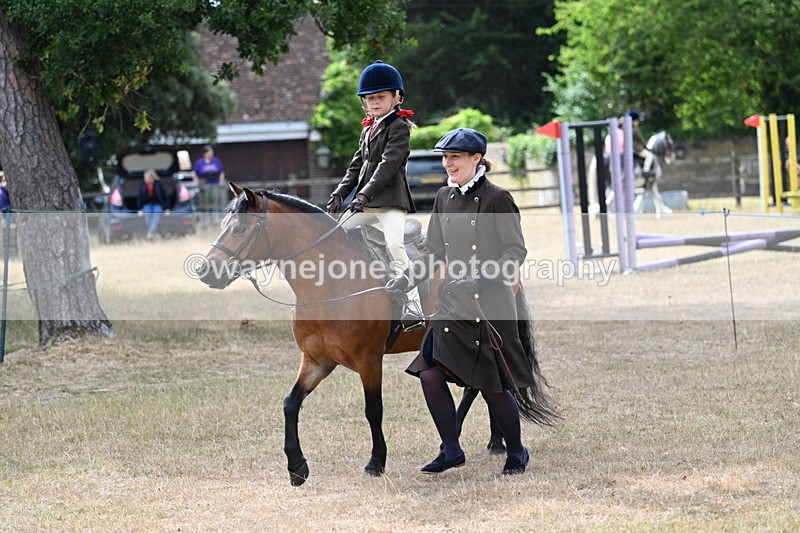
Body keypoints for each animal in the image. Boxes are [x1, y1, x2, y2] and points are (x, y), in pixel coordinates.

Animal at [195, 183, 555, 485]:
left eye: (240, 227)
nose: (204, 271)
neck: (329, 286)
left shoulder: (369, 361)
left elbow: (373, 410)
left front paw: (376, 463)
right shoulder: (316, 361)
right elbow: (290, 403)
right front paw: (296, 467)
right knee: (478, 383)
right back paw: (487, 440)